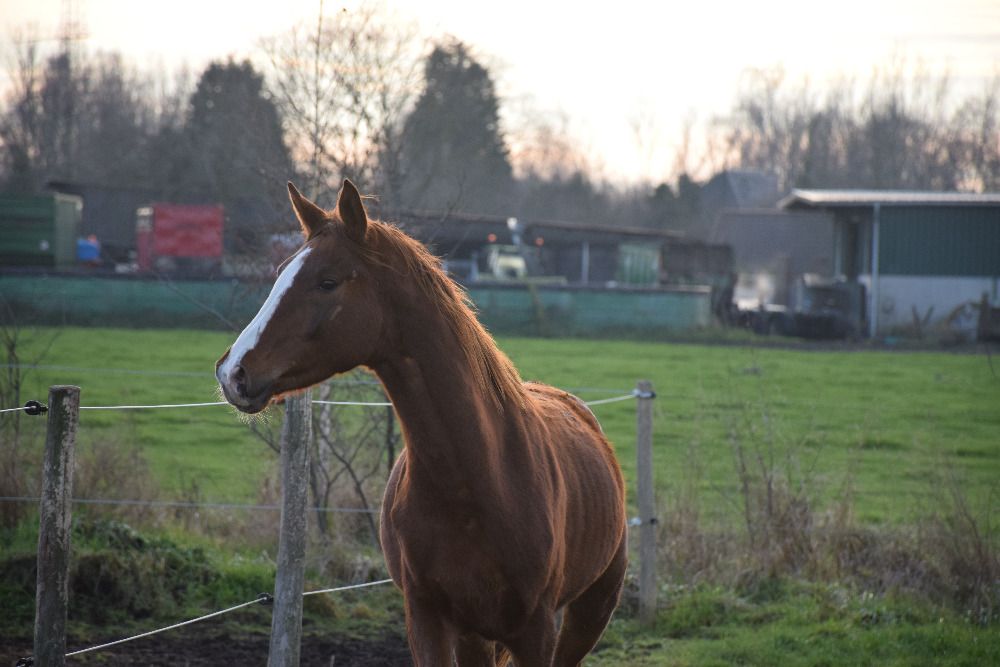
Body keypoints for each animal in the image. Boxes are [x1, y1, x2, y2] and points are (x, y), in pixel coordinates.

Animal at [216, 179, 627, 666]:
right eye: (281, 271)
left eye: (327, 281)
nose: (233, 372)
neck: (477, 484)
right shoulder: (428, 619)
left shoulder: (535, 632)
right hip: (478, 635)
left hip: (590, 611)